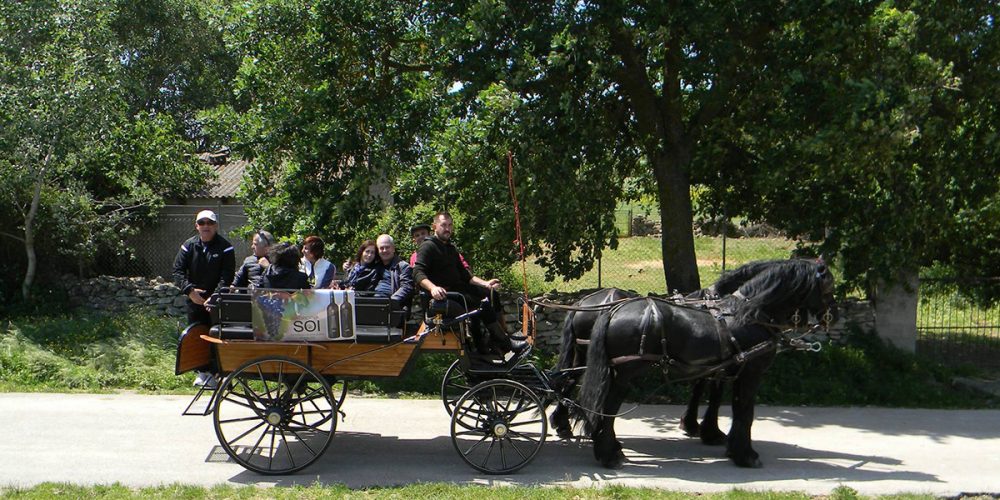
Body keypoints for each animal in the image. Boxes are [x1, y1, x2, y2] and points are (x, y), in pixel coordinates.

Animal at [576, 258, 832, 468]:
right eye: (829, 287)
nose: (832, 317)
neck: (751, 313)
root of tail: (612, 311)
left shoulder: (725, 368)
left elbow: (728, 403)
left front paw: (718, 438)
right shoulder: (750, 371)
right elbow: (744, 410)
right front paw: (744, 454)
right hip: (625, 373)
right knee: (608, 407)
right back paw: (608, 453)